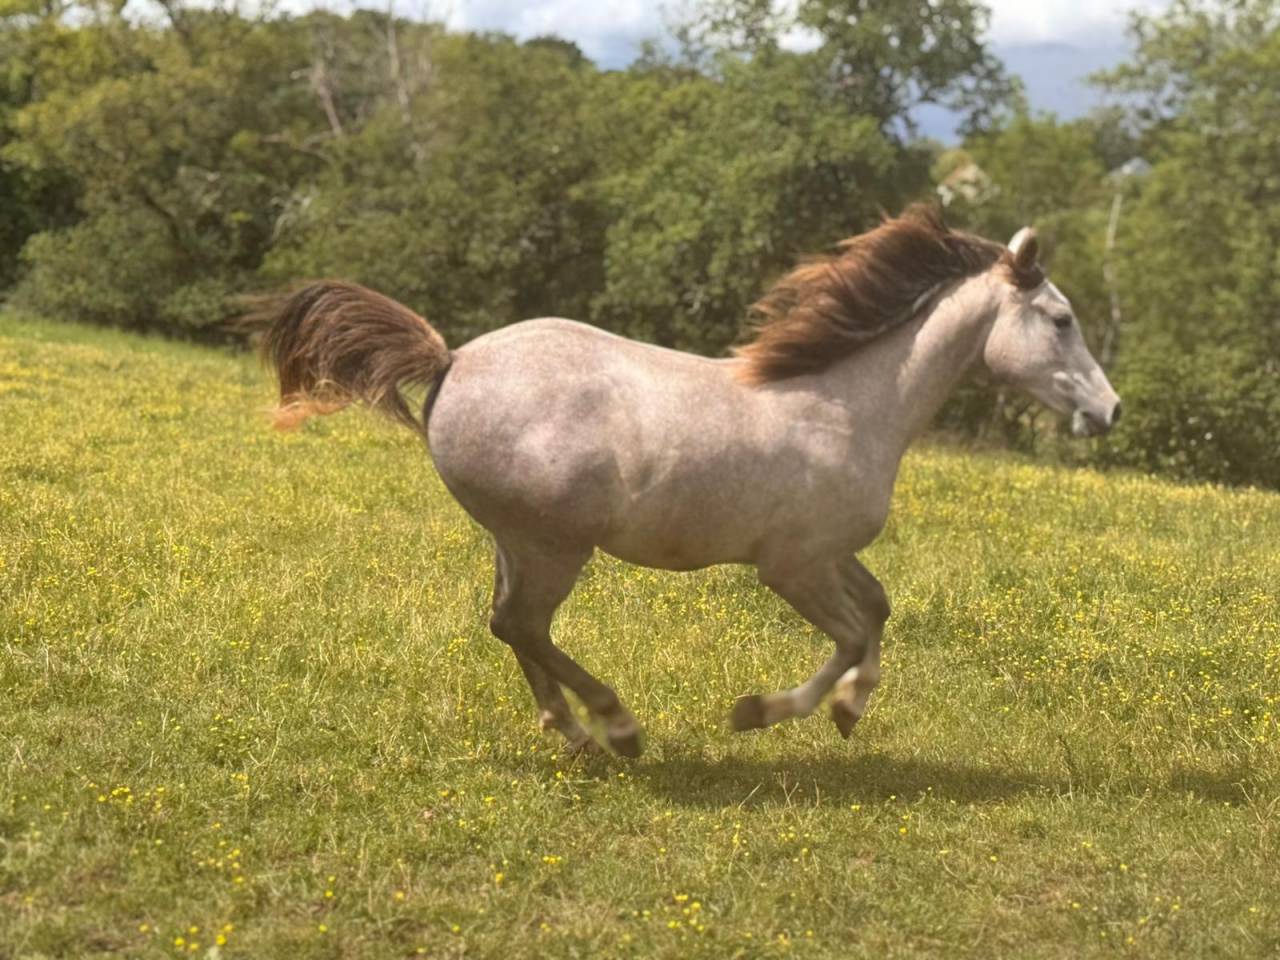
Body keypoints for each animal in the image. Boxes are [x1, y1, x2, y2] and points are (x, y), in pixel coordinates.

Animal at [249, 205, 1121, 758]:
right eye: (1062, 319)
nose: (1109, 410)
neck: (851, 405)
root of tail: (452, 357)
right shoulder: (792, 566)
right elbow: (848, 635)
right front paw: (762, 712)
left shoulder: (831, 554)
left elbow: (878, 611)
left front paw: (849, 712)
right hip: (553, 544)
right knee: (523, 625)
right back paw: (617, 728)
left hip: (516, 542)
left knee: (508, 625)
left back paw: (571, 731)